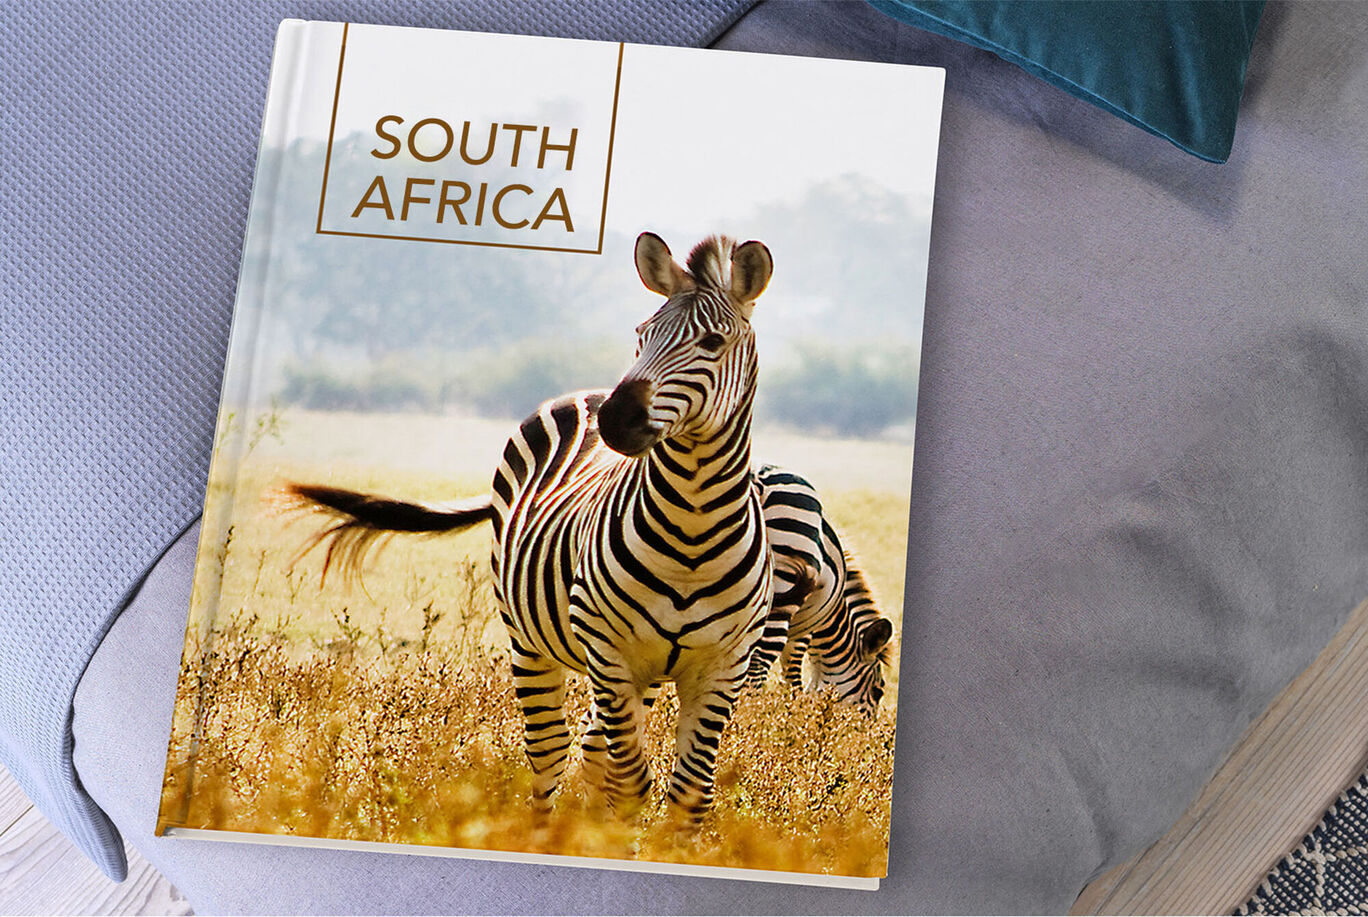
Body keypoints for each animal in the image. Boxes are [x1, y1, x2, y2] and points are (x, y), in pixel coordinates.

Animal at [286, 233, 775, 823]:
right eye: (641, 336)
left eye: (712, 342)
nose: (615, 421)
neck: (693, 529)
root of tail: (586, 394)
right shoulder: (609, 650)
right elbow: (632, 784)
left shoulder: (722, 667)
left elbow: (689, 796)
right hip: (534, 642)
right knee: (551, 752)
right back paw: (543, 831)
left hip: (636, 674)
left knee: (591, 751)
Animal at [747, 464, 895, 715]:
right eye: (878, 691)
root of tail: (760, 479)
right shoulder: (803, 629)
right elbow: (793, 678)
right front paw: (791, 713)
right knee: (757, 668)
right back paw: (748, 717)